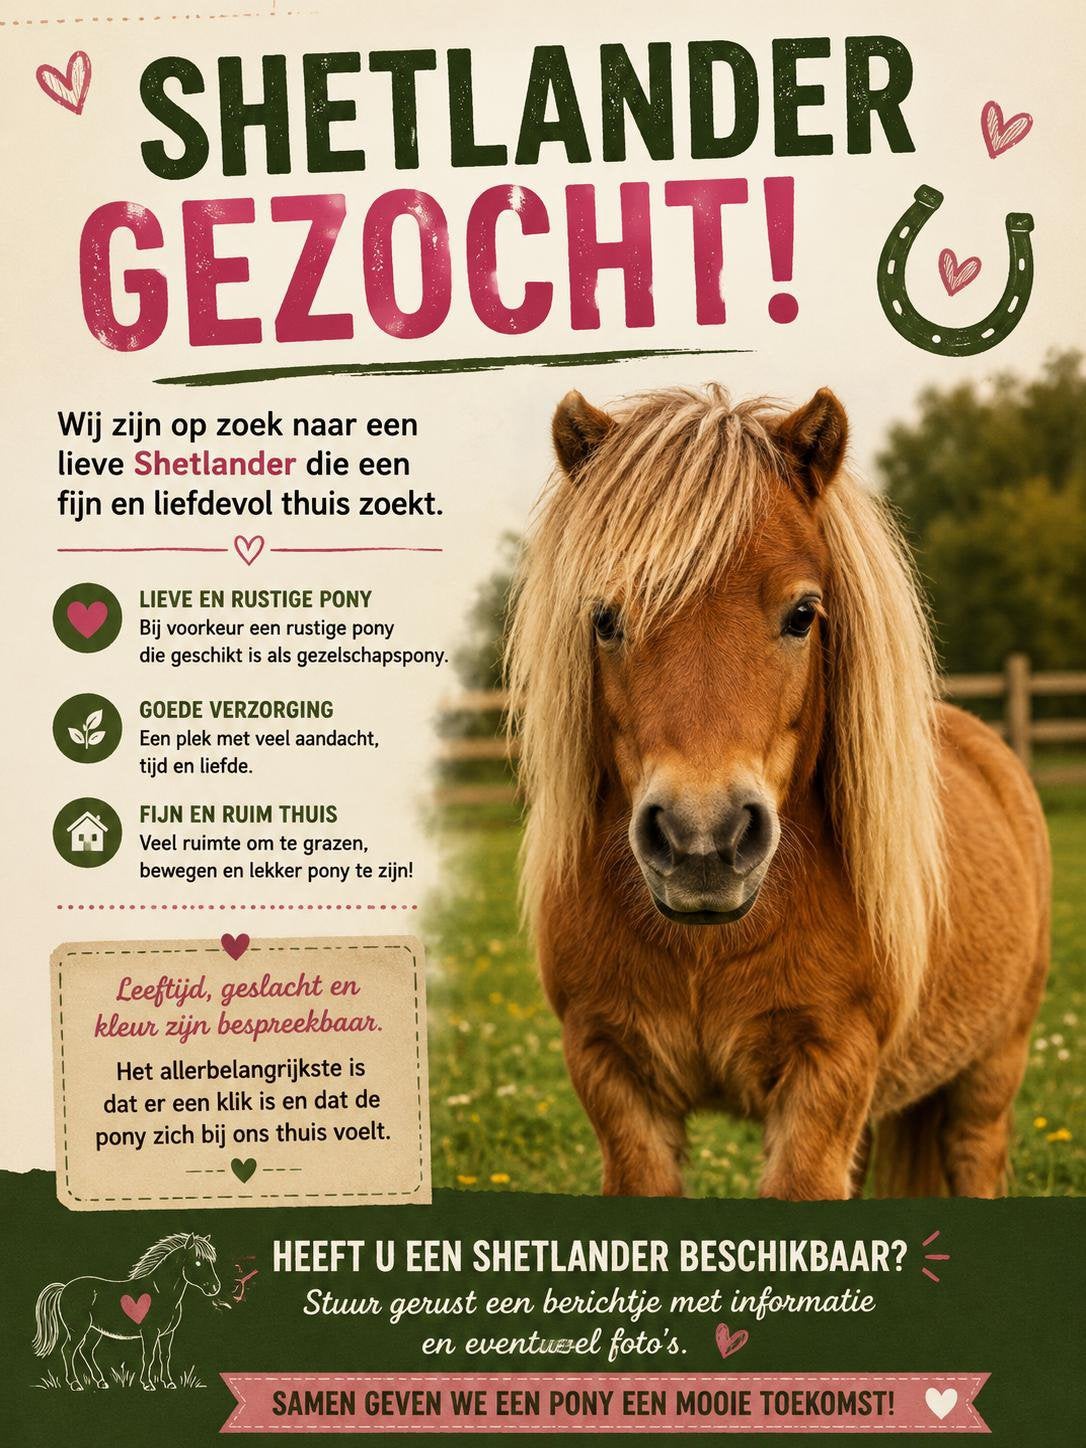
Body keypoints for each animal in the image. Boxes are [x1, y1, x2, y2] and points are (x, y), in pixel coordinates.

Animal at [32, 1232, 221, 1390]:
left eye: (211, 1262)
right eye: (198, 1262)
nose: (215, 1287)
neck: (161, 1293)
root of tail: (64, 1288)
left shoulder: (168, 1333)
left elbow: (165, 1356)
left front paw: (168, 1383)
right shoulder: (150, 1333)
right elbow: (148, 1357)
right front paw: (148, 1384)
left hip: (94, 1330)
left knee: (86, 1351)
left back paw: (101, 1382)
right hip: (78, 1329)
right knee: (68, 1350)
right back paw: (75, 1384)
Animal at [506, 384, 1050, 1199]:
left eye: (801, 614)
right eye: (604, 618)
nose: (703, 843)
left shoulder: (828, 1074)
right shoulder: (612, 1074)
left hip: (990, 1076)